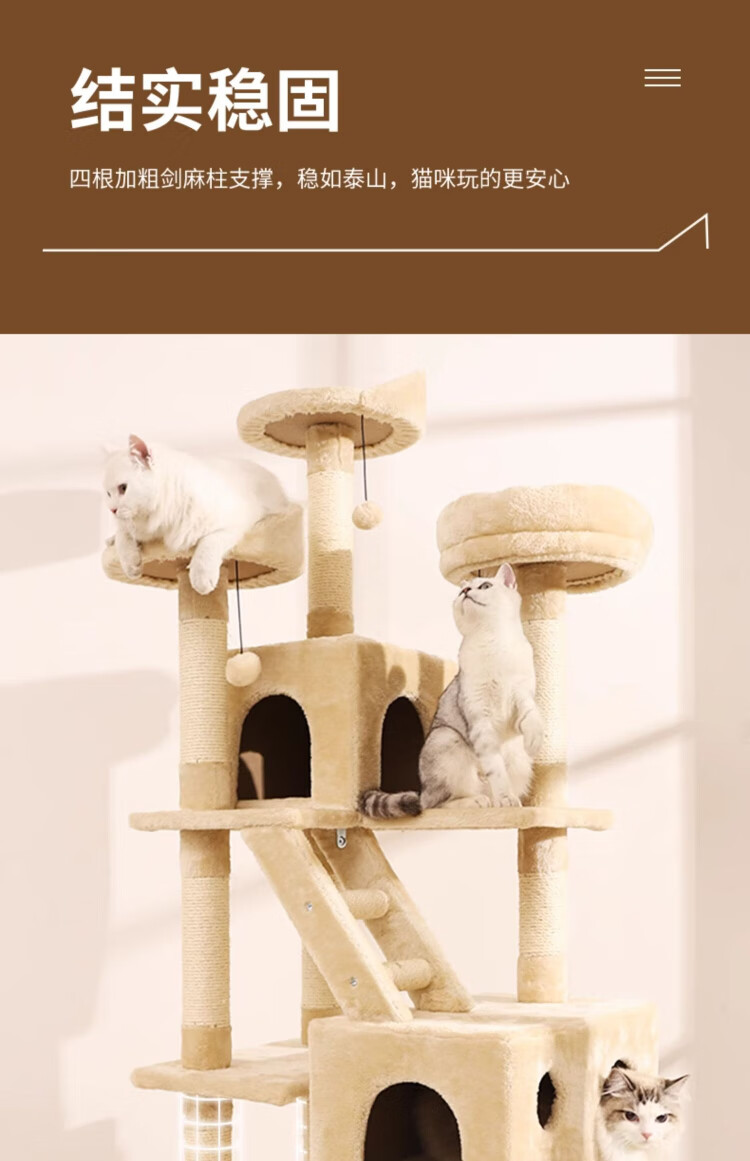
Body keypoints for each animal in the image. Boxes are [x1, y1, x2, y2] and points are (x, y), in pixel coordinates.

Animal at [103, 434, 289, 594]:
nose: (111, 510)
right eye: (108, 494)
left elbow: (207, 545)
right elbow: (123, 536)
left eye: (123, 488)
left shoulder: (231, 524)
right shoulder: (134, 527)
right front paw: (131, 564)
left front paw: (201, 577)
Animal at [360, 564, 543, 818]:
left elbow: (532, 716)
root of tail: (422, 789)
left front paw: (535, 741)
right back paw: (479, 801)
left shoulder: (521, 696)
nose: (466, 591)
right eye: (461, 591)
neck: (494, 645)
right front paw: (505, 798)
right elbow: (496, 769)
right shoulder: (480, 717)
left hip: (519, 762)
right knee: (433, 804)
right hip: (447, 738)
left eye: (485, 586)